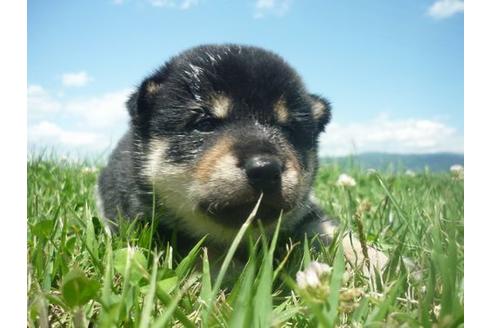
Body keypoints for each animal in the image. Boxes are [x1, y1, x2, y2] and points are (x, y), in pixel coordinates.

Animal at [97, 44, 388, 272]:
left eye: (289, 129)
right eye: (204, 123)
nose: (265, 169)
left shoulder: (306, 210)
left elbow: (330, 231)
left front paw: (378, 262)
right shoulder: (154, 225)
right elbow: (204, 252)